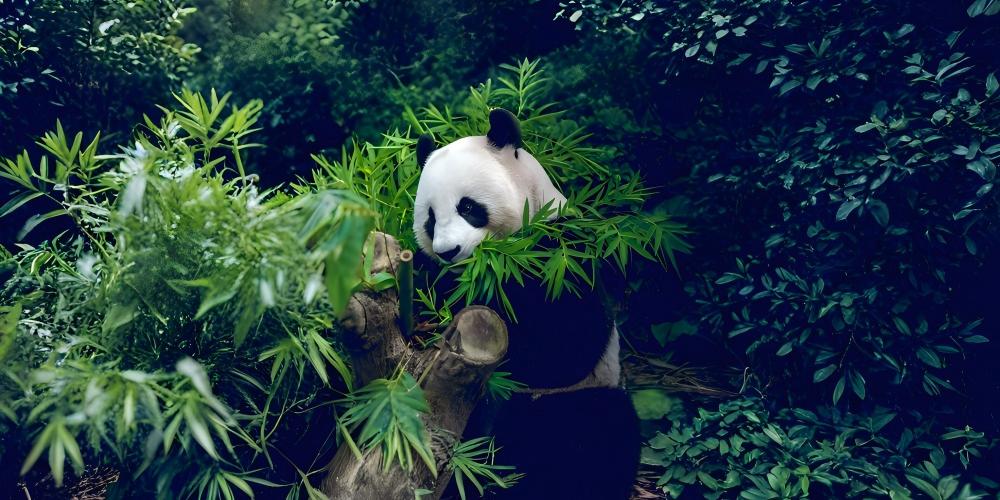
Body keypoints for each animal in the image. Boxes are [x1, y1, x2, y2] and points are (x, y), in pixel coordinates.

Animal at [412, 108, 640, 499]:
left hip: (571, 401)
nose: (448, 252)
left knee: (596, 437)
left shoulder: (561, 258)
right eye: (430, 218)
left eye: (468, 206)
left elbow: (564, 346)